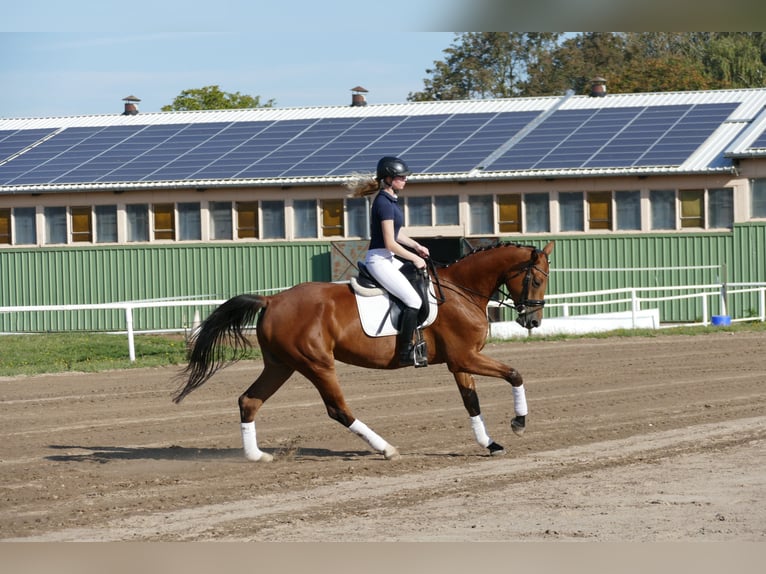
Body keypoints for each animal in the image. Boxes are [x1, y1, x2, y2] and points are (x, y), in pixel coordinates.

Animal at [174, 242, 556, 464]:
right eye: (537, 280)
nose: (532, 321)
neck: (462, 291)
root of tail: (272, 300)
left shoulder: (458, 361)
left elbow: (471, 402)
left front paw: (490, 444)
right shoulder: (465, 358)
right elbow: (514, 374)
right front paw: (519, 424)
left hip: (281, 365)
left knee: (249, 401)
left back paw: (256, 457)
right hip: (317, 364)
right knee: (337, 409)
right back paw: (386, 449)